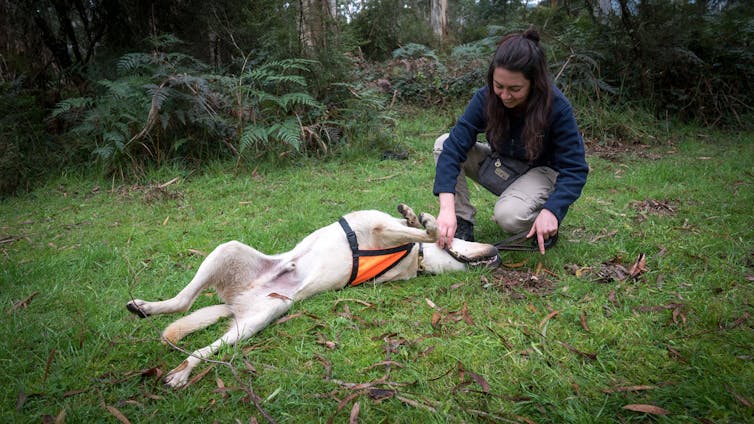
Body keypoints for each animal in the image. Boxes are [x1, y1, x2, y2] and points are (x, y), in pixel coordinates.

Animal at [125, 205, 496, 388]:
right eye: (465, 237)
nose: (496, 251)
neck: (412, 256)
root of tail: (235, 301)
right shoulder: (379, 226)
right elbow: (418, 228)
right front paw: (421, 219)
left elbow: (419, 230)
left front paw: (422, 222)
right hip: (227, 250)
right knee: (183, 301)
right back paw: (145, 308)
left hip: (255, 320)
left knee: (204, 345)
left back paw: (181, 369)